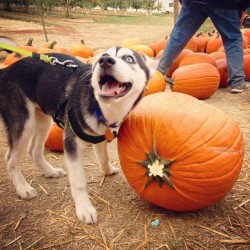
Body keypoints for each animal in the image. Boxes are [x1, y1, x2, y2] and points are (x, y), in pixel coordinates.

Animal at [0, 38, 156, 224]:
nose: (105, 61)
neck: (101, 106)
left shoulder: (99, 136)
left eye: (129, 59)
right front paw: (84, 209)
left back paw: (50, 172)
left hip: (44, 122)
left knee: (34, 151)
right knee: (10, 159)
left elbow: (104, 157)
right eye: (103, 56)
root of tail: (7, 69)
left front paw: (108, 170)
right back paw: (23, 188)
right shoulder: (71, 143)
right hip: (24, 124)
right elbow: (78, 181)